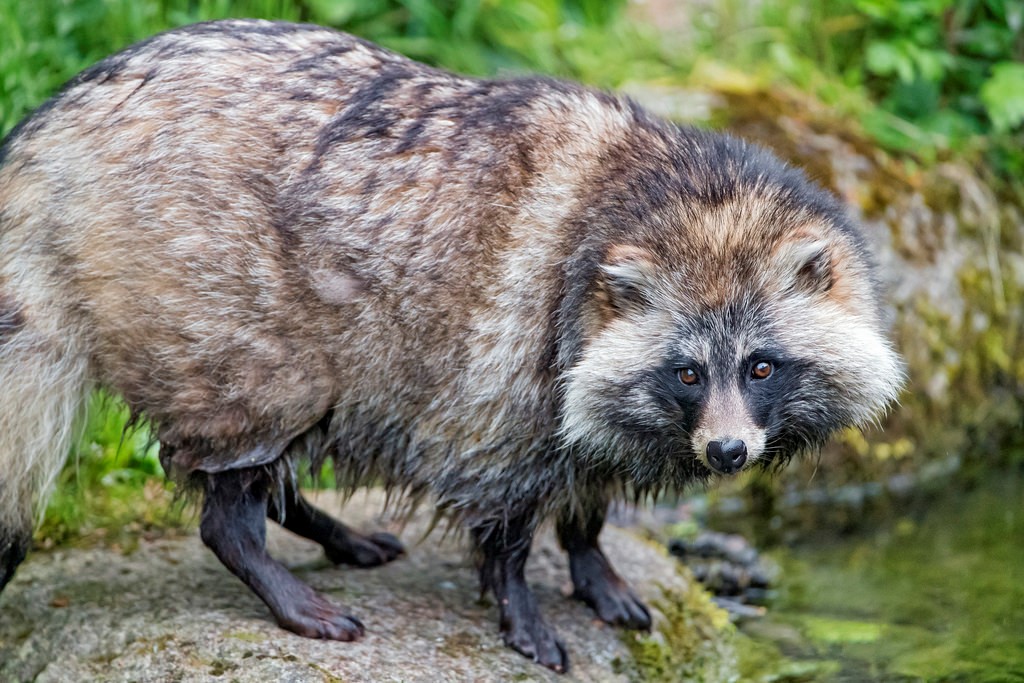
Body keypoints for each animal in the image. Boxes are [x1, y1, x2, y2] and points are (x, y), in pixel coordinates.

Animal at [0, 20, 901, 671]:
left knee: (291, 444)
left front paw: (591, 556)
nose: (726, 452)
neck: (668, 192)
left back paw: (322, 524)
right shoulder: (514, 357)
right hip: (219, 312)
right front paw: (518, 596)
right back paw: (264, 561)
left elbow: (590, 473)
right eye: (686, 372)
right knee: (246, 446)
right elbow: (506, 501)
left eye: (761, 366)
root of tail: (56, 128)